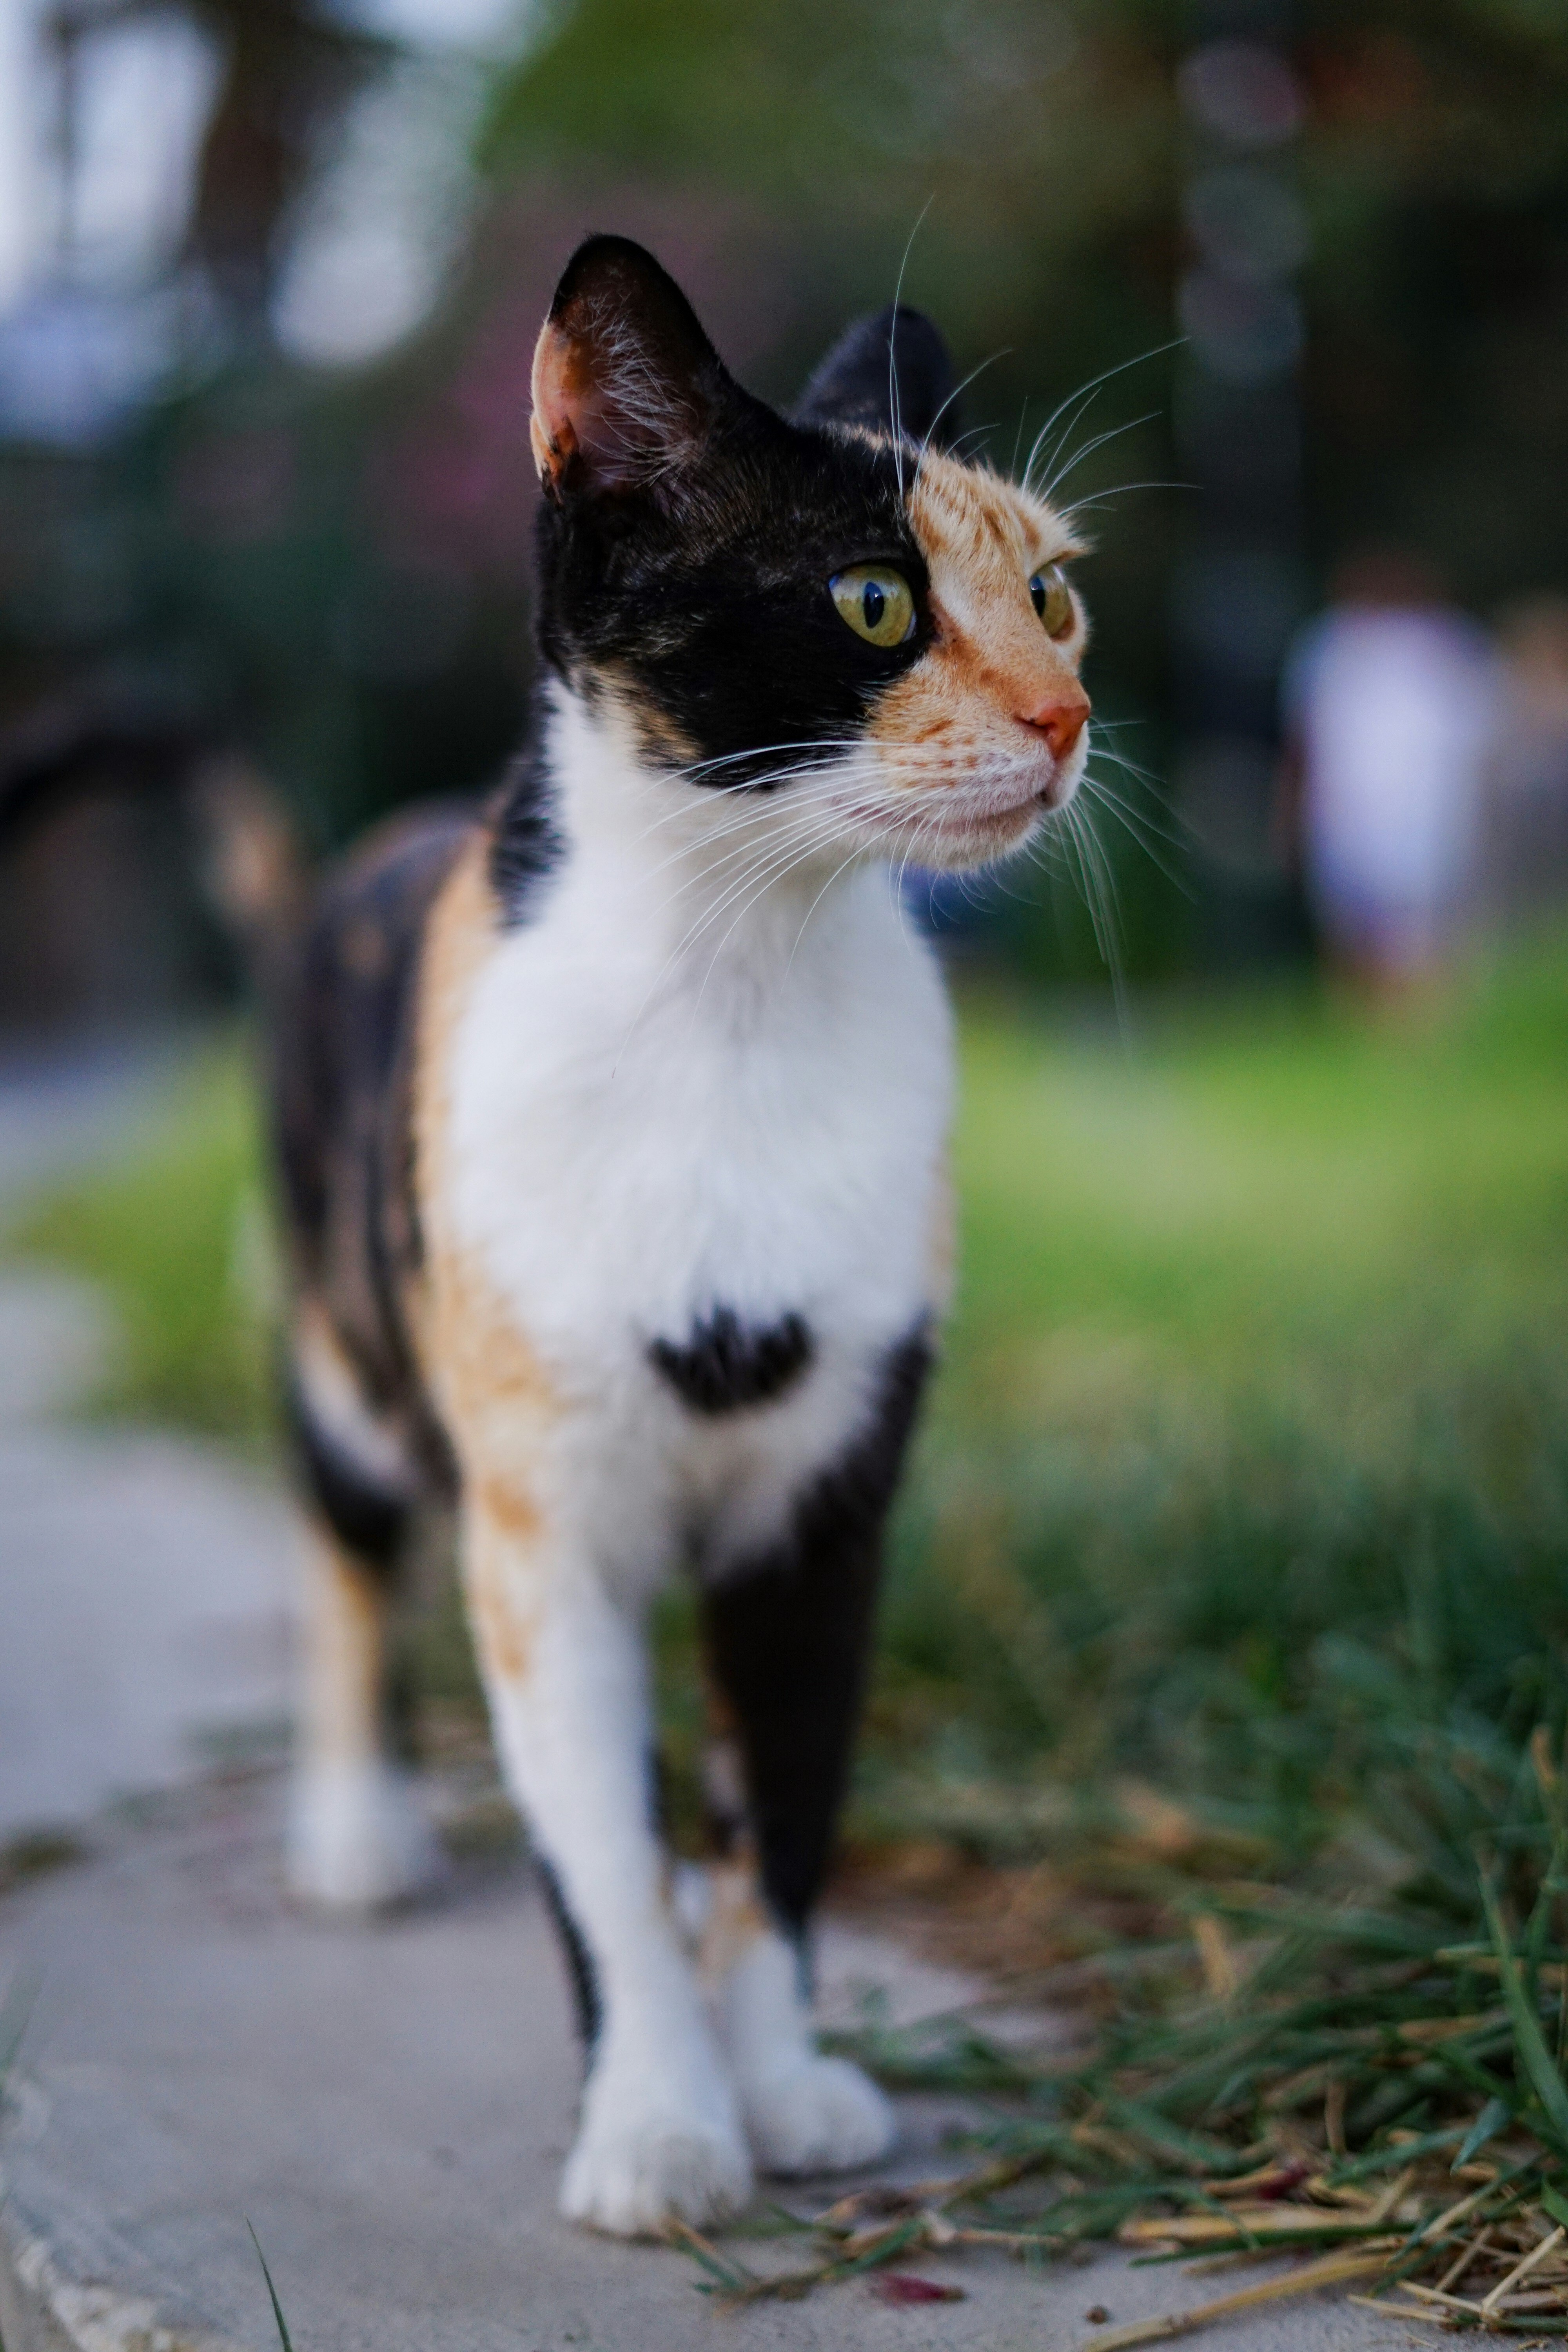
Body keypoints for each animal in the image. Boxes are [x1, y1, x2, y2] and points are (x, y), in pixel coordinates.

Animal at [202, 229, 1091, 2230]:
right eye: (869, 601)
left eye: (1053, 594)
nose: (1067, 716)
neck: (730, 997)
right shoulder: (546, 1530)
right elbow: (597, 1846)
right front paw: (659, 2122)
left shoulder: (828, 1505)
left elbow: (786, 1809)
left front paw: (777, 2078)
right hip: (350, 1339)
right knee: (341, 1543)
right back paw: (357, 1819)